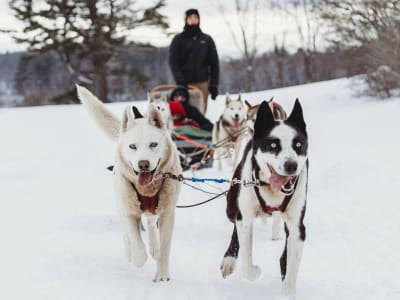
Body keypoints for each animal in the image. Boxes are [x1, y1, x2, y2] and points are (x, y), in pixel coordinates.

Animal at [77, 85, 183, 282]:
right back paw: (130, 252)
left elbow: (164, 250)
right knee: (127, 234)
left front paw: (162, 276)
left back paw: (154, 247)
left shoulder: (167, 214)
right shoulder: (128, 211)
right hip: (121, 204)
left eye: (153, 144)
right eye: (132, 146)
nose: (143, 164)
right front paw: (137, 258)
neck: (147, 189)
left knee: (151, 223)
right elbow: (136, 244)